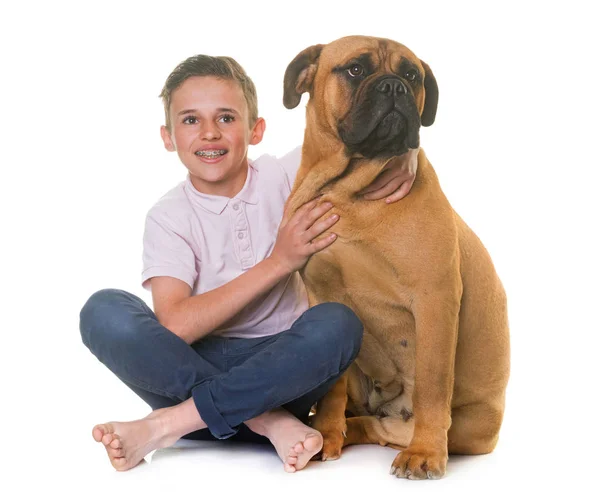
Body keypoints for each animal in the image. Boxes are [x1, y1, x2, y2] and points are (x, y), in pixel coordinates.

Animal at [284, 35, 508, 476]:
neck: (350, 192)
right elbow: (332, 386)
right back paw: (326, 432)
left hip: (474, 424)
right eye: (355, 69)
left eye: (412, 75)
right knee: (368, 420)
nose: (394, 87)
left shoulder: (435, 299)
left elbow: (433, 386)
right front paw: (327, 434)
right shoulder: (325, 296)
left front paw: (425, 452)